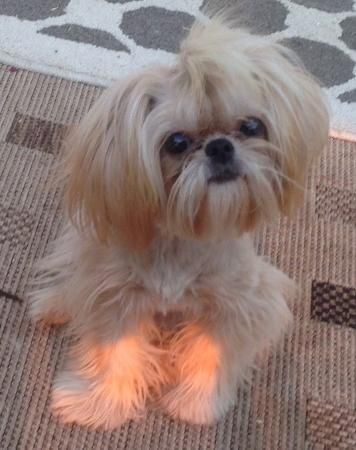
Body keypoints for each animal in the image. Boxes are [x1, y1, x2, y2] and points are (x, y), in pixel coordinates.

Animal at [29, 17, 330, 428]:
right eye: (176, 142)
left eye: (251, 126)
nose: (220, 147)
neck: (182, 241)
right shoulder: (118, 299)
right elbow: (114, 355)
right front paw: (100, 404)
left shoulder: (236, 304)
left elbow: (210, 354)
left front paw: (196, 403)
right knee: (72, 275)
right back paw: (55, 304)